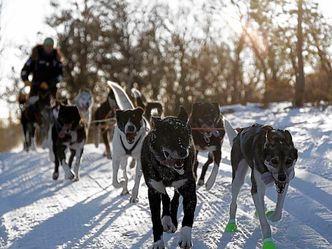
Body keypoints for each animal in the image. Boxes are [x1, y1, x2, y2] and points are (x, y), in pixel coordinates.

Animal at [141, 107, 197, 249]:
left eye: (185, 135)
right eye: (168, 136)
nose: (183, 152)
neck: (168, 170)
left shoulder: (189, 190)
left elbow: (188, 217)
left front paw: (185, 238)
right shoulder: (154, 191)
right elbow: (155, 221)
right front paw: (158, 242)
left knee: (174, 200)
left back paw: (172, 221)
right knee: (166, 198)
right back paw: (166, 220)